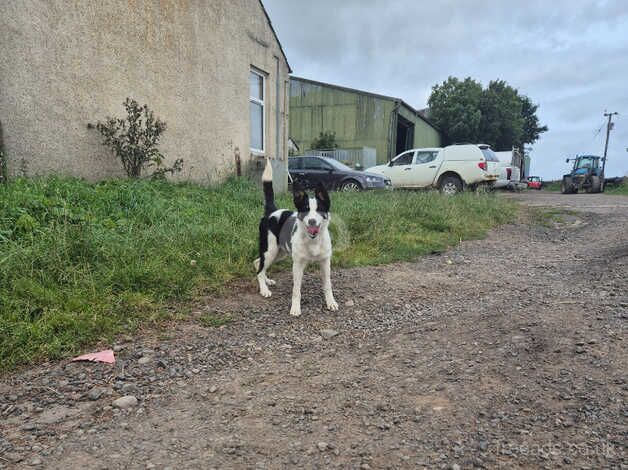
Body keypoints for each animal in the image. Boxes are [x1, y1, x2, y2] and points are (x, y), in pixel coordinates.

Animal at [254, 158, 338, 316]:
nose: (312, 221)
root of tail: (272, 211)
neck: (313, 241)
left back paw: (267, 281)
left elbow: (328, 285)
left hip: (279, 253)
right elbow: (296, 290)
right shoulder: (297, 265)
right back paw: (264, 289)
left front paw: (330, 302)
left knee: (257, 263)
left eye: (320, 210)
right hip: (270, 251)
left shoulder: (325, 262)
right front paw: (295, 308)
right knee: (260, 269)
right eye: (305, 209)